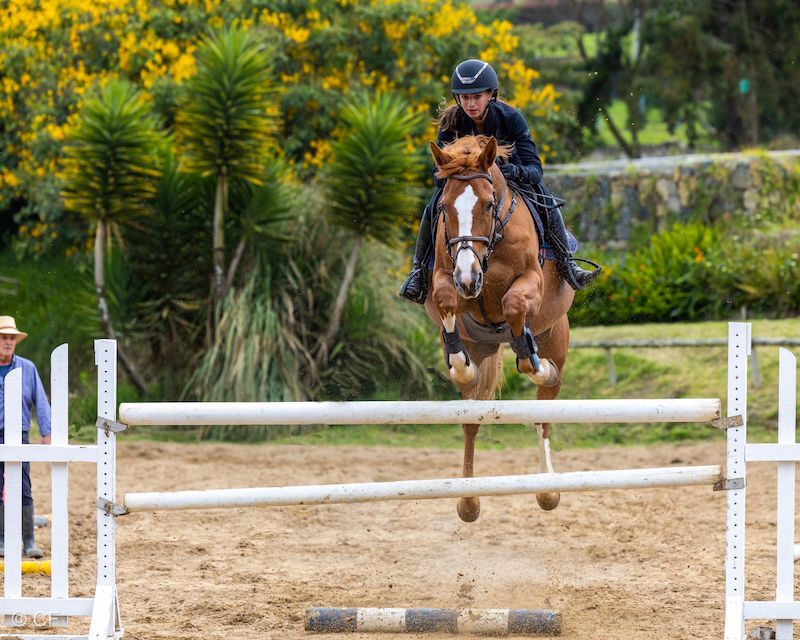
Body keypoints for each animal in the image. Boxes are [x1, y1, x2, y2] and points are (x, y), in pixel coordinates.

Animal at [423, 135, 575, 523]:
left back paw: (547, 490)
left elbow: (513, 304)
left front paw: (529, 357)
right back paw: (468, 501)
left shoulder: (531, 279)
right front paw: (458, 362)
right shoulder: (446, 276)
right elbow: (446, 299)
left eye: (490, 204)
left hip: (555, 334)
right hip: (480, 350)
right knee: (471, 419)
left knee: (544, 408)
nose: (469, 277)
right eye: (444, 207)